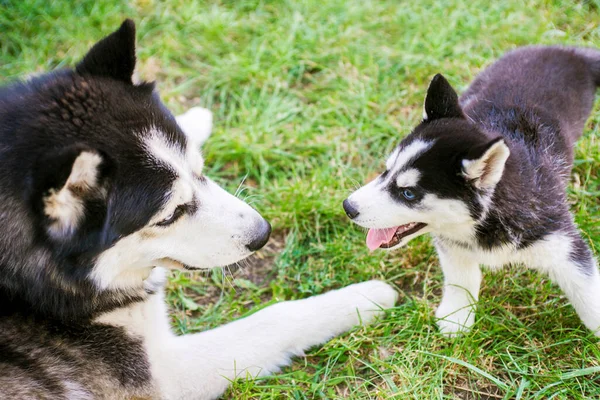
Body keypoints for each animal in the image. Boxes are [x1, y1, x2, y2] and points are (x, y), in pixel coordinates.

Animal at [0, 20, 398, 398]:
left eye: (200, 168)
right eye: (169, 215)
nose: (263, 234)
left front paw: (194, 119)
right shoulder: (167, 376)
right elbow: (274, 318)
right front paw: (365, 297)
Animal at [342, 48, 600, 340]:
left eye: (408, 193)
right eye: (386, 171)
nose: (348, 207)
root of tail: (566, 51)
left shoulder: (561, 242)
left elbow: (587, 292)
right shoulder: (453, 244)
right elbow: (461, 278)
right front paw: (457, 316)